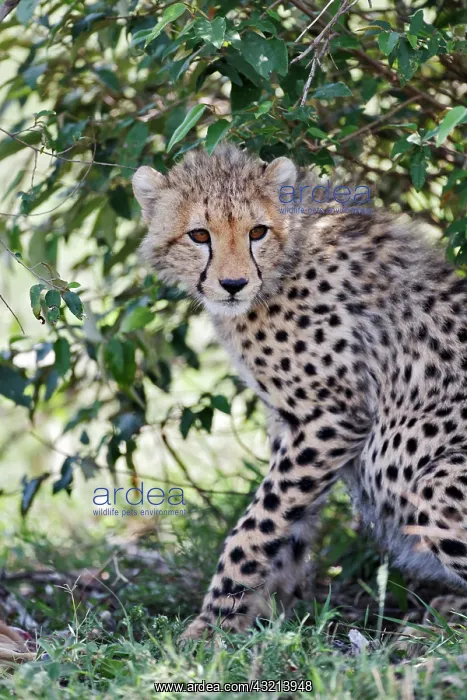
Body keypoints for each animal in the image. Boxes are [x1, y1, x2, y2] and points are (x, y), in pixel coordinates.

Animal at [132, 143, 467, 641]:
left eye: (257, 231)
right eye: (198, 235)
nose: (233, 285)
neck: (286, 261)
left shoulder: (332, 417)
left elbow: (256, 524)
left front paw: (212, 624)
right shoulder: (293, 424)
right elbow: (287, 522)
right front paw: (271, 614)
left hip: (432, 480)